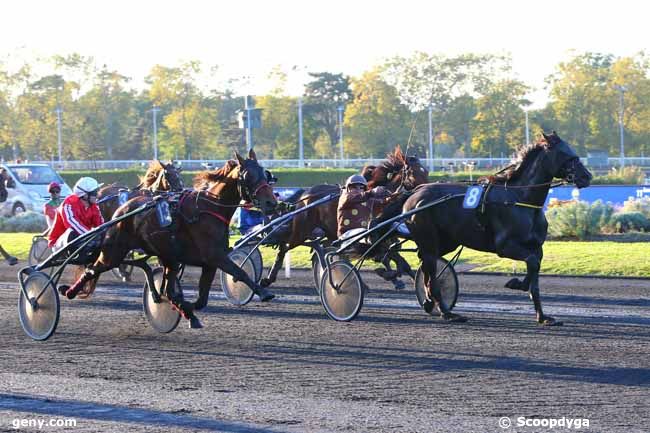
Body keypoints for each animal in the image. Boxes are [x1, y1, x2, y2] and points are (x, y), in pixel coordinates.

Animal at [62, 148, 280, 328]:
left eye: (265, 173)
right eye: (248, 176)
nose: (271, 202)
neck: (208, 209)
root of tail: (122, 211)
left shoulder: (208, 263)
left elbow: (201, 299)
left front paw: (186, 309)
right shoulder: (215, 256)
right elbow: (240, 272)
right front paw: (264, 292)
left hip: (167, 257)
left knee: (165, 287)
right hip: (114, 253)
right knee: (92, 269)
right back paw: (69, 291)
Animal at [258, 147, 426, 288]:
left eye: (426, 172)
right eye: (412, 172)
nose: (424, 189)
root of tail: (305, 194)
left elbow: (396, 258)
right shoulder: (375, 236)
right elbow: (395, 259)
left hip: (325, 232)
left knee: (316, 247)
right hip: (303, 230)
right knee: (286, 244)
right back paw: (268, 277)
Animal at [402, 132, 588, 324]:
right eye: (565, 154)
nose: (586, 176)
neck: (520, 199)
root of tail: (414, 193)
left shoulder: (536, 247)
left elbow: (535, 270)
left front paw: (542, 316)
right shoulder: (504, 246)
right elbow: (531, 262)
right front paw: (516, 283)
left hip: (447, 241)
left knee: (424, 262)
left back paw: (429, 301)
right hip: (429, 239)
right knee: (430, 268)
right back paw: (447, 312)